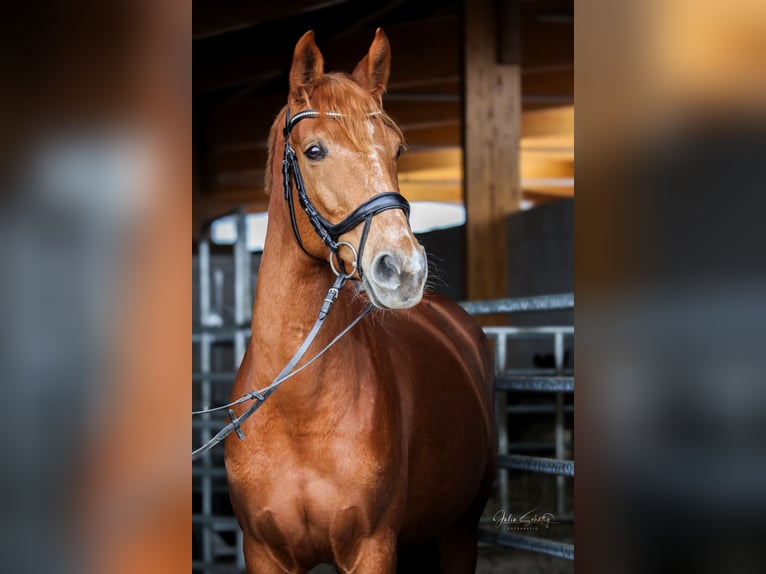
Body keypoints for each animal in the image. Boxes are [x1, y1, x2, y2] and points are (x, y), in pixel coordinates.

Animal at [225, 29, 498, 572]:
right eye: (314, 150)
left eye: (397, 149)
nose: (404, 269)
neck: (298, 413)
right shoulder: (262, 551)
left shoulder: (373, 546)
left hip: (461, 533)